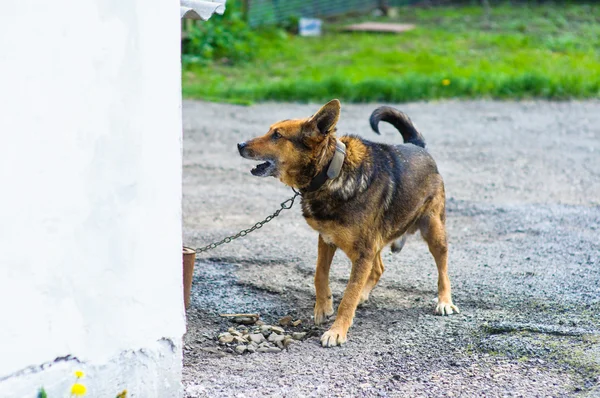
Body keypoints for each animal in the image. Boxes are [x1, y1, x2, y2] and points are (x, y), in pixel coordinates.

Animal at [239, 100, 460, 348]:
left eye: (277, 135)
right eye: (270, 130)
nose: (239, 145)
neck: (330, 172)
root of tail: (417, 145)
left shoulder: (363, 252)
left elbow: (348, 295)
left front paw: (337, 331)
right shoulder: (327, 240)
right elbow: (320, 274)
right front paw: (323, 306)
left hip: (433, 230)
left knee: (442, 268)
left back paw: (444, 301)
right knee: (379, 268)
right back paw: (365, 293)